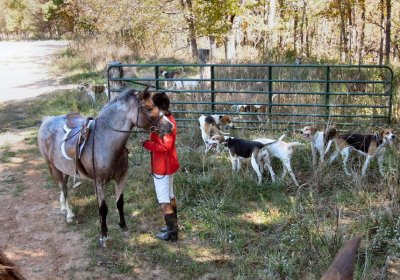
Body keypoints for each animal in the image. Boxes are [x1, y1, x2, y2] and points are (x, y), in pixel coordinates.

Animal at [38, 87, 173, 247]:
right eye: (149, 108)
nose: (169, 126)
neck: (106, 141)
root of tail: (46, 120)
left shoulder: (121, 178)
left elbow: (119, 202)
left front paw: (123, 227)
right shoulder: (98, 183)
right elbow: (103, 209)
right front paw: (103, 236)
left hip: (63, 168)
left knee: (64, 186)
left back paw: (64, 206)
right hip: (53, 167)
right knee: (63, 188)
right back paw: (69, 214)